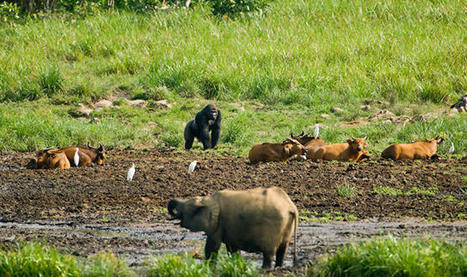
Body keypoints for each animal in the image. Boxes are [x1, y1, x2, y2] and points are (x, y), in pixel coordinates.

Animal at [168, 185, 300, 268]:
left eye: (185, 210)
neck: (207, 199)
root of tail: (291, 206)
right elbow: (232, 249)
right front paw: (234, 264)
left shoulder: (218, 223)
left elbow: (212, 247)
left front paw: (208, 268)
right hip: (286, 225)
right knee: (282, 251)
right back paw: (278, 267)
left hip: (274, 225)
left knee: (269, 253)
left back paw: (265, 269)